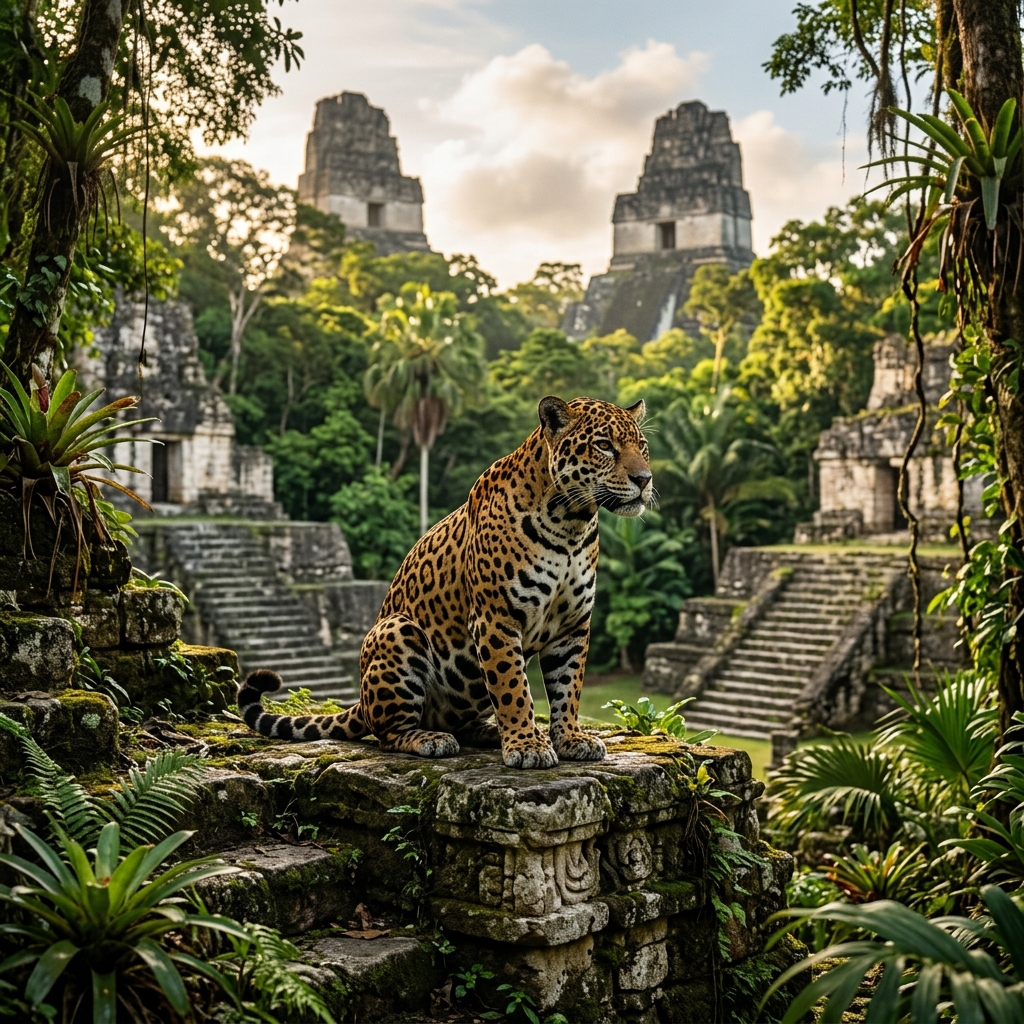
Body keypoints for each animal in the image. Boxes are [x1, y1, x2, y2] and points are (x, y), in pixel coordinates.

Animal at [237, 395, 652, 769]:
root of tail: (360, 701)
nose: (644, 479)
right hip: (396, 631)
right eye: (604, 445)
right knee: (387, 733)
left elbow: (568, 688)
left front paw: (569, 738)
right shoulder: (496, 619)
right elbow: (513, 687)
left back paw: (488, 731)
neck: (571, 522)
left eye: (642, 446)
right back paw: (432, 739)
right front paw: (526, 745)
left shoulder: (572, 625)